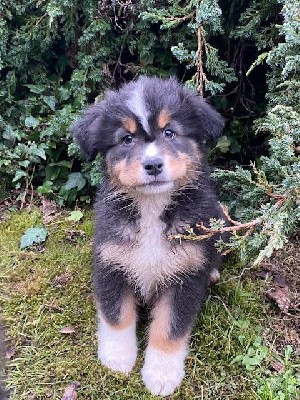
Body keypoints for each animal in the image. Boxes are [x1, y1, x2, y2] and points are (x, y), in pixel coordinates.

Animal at [72, 76, 226, 396]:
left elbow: (169, 329)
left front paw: (161, 376)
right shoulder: (111, 263)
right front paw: (117, 360)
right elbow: (117, 316)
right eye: (126, 139)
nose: (153, 165)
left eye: (170, 132)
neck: (152, 207)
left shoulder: (185, 276)